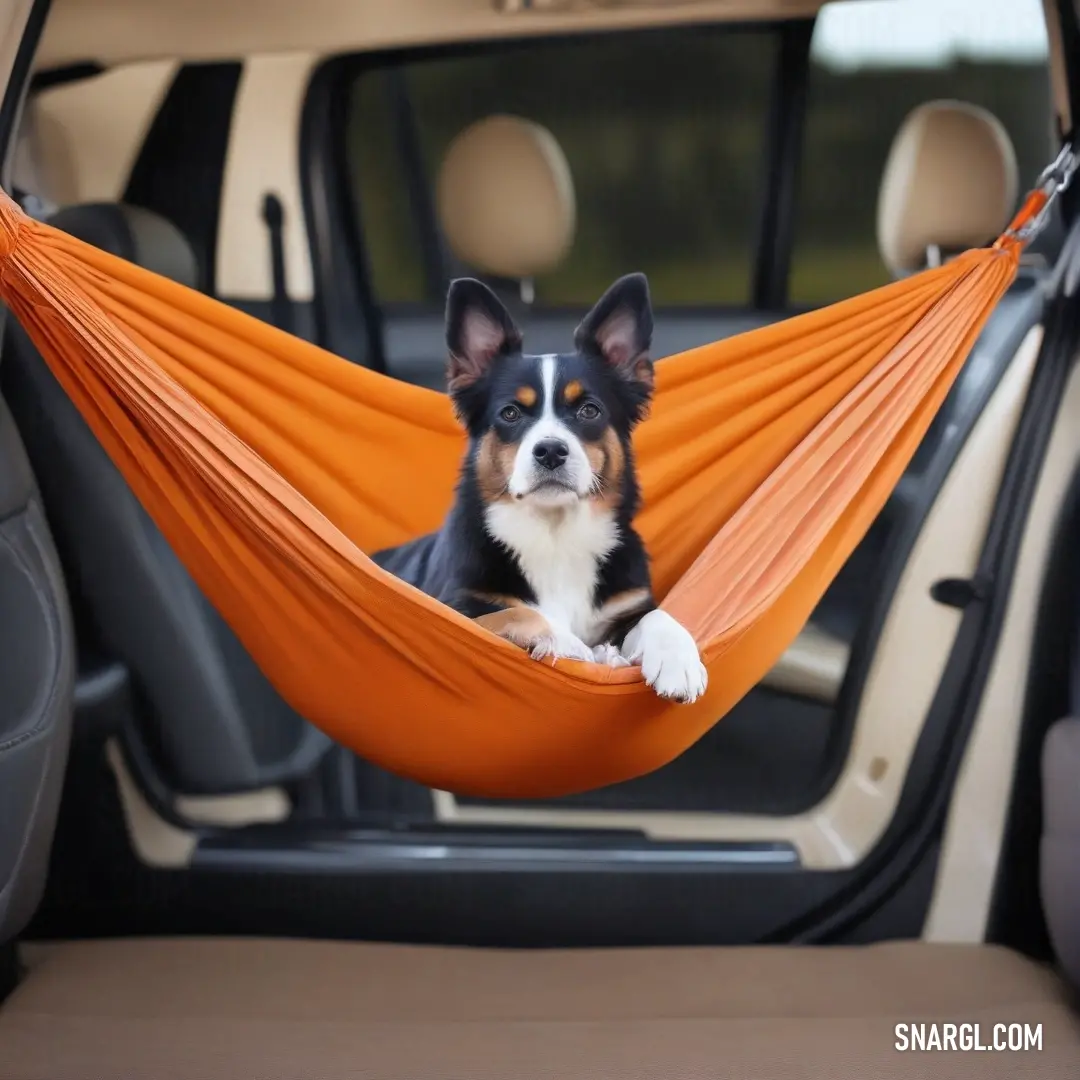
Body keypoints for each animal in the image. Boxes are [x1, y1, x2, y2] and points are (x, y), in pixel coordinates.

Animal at [371, 274, 708, 704]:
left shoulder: (628, 603)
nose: (550, 451)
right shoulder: (452, 608)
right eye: (511, 413)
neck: (555, 534)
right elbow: (518, 611)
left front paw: (677, 659)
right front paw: (569, 643)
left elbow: (658, 614)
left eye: (589, 410)